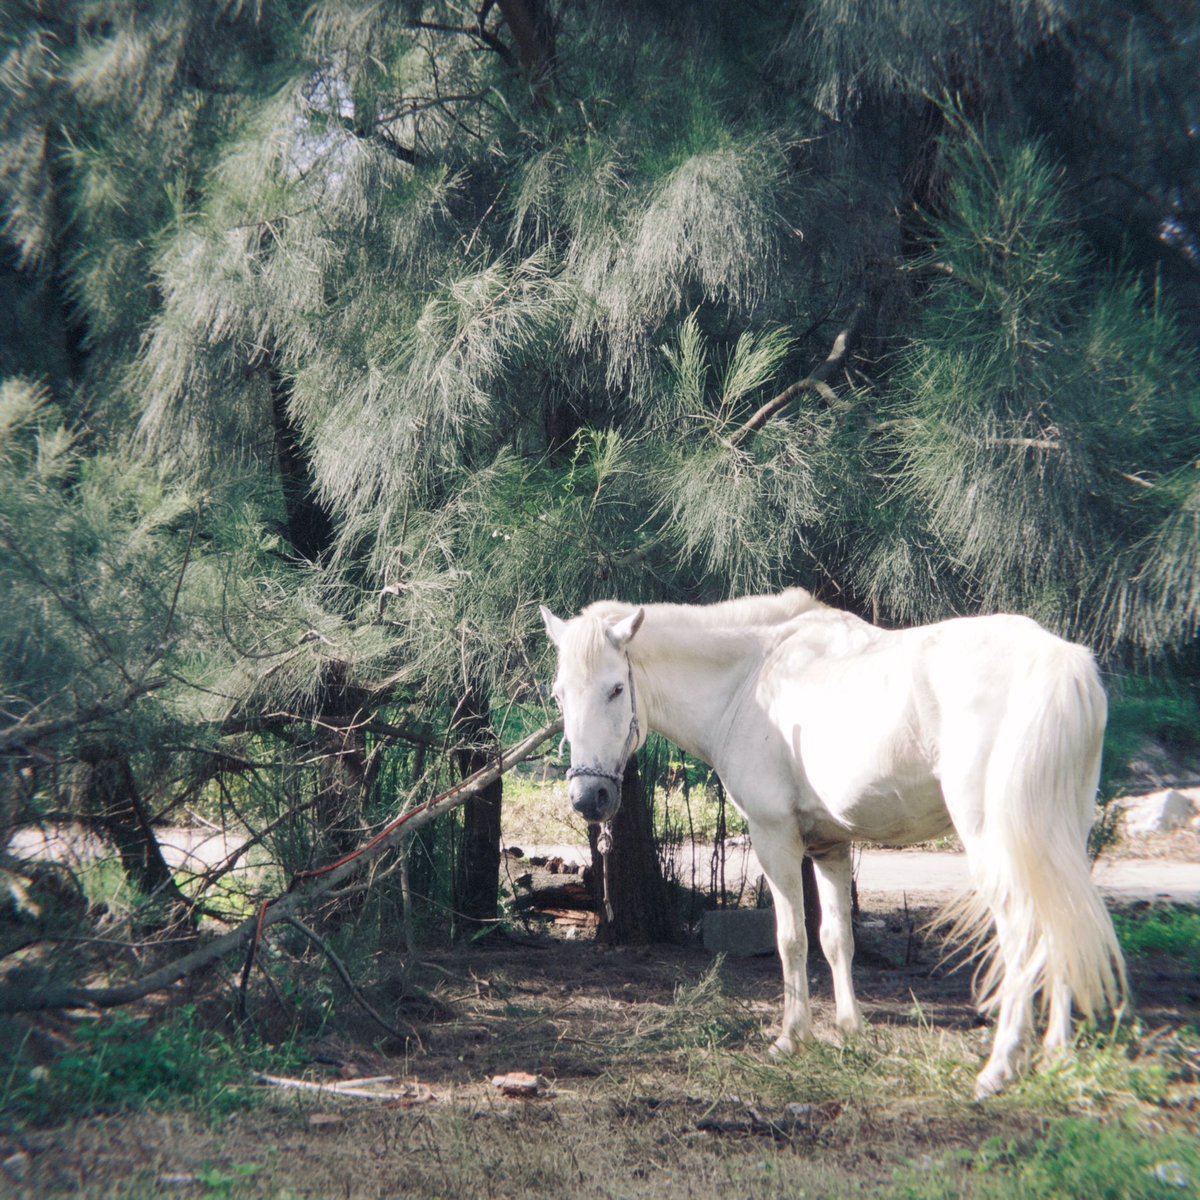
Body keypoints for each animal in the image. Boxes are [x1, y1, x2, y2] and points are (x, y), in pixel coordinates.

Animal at [539, 588, 1126, 1099]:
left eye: (616, 688)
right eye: (560, 695)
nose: (589, 797)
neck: (752, 679)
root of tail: (1062, 663)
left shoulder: (775, 839)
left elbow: (791, 938)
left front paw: (790, 1038)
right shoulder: (830, 848)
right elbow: (836, 938)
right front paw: (848, 1030)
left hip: (998, 845)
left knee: (1024, 931)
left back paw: (1000, 1067)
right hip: (1054, 838)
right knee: (1061, 922)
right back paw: (1055, 1055)